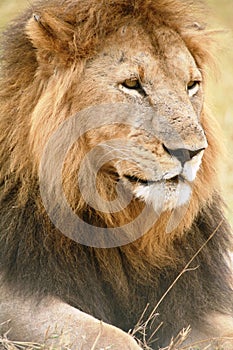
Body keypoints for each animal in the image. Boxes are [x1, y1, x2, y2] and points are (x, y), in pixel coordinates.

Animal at [0, 0, 233, 348]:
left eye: (191, 85)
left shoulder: (186, 303)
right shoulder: (18, 294)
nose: (192, 152)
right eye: (133, 85)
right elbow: (112, 337)